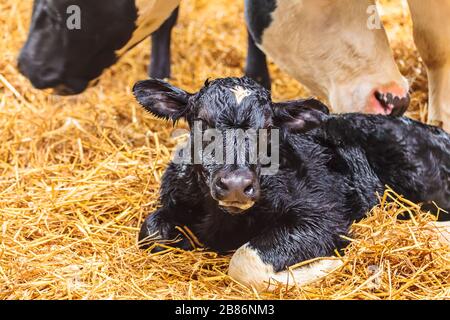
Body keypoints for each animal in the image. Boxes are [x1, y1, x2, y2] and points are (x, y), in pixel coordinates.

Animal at [133, 76, 450, 292]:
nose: (235, 184)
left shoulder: (324, 217)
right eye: (201, 122)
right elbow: (150, 233)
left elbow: (245, 260)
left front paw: (331, 264)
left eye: (267, 127)